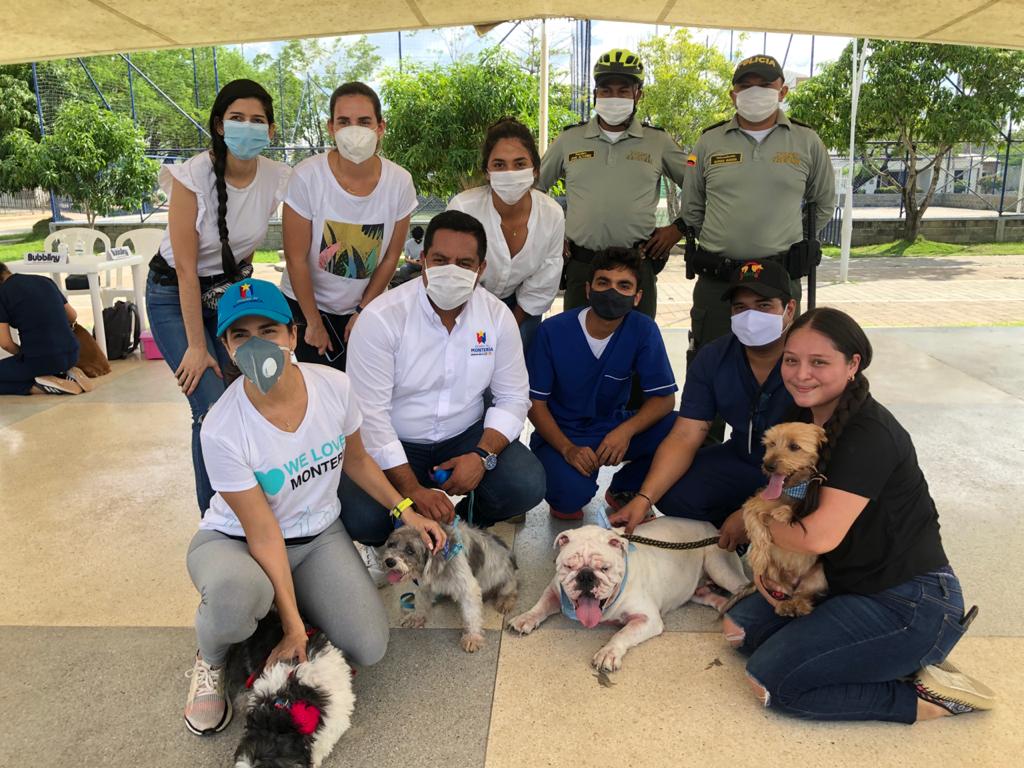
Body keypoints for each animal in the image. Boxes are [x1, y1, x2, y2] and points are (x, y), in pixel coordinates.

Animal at [380, 520, 516, 651]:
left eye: (410, 550)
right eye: (391, 545)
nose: (389, 561)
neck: (441, 557)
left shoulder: (468, 588)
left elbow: (471, 615)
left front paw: (473, 637)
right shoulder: (425, 586)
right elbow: (420, 602)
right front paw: (415, 617)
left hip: (504, 577)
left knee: (511, 588)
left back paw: (505, 599)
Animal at [741, 421, 827, 618]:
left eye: (794, 446)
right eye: (771, 444)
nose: (768, 465)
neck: (789, 490)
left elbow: (795, 509)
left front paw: (784, 512)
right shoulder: (753, 504)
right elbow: (756, 527)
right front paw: (758, 558)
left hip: (818, 575)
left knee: (802, 593)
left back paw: (800, 605)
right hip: (774, 575)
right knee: (784, 592)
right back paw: (785, 605)